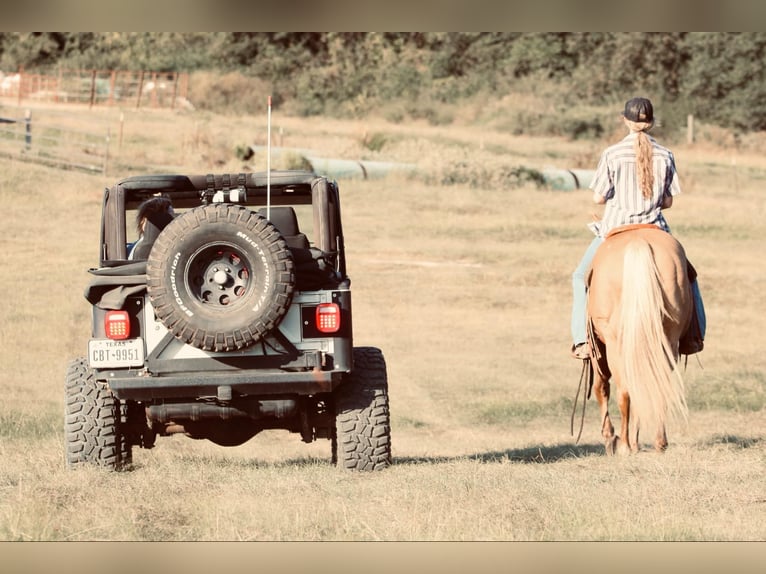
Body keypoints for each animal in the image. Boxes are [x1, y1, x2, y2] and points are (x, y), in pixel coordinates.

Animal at [588, 227, 696, 456]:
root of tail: (639, 243)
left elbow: (602, 387)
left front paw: (611, 438)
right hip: (667, 339)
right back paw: (659, 442)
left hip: (614, 345)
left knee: (623, 390)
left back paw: (624, 446)